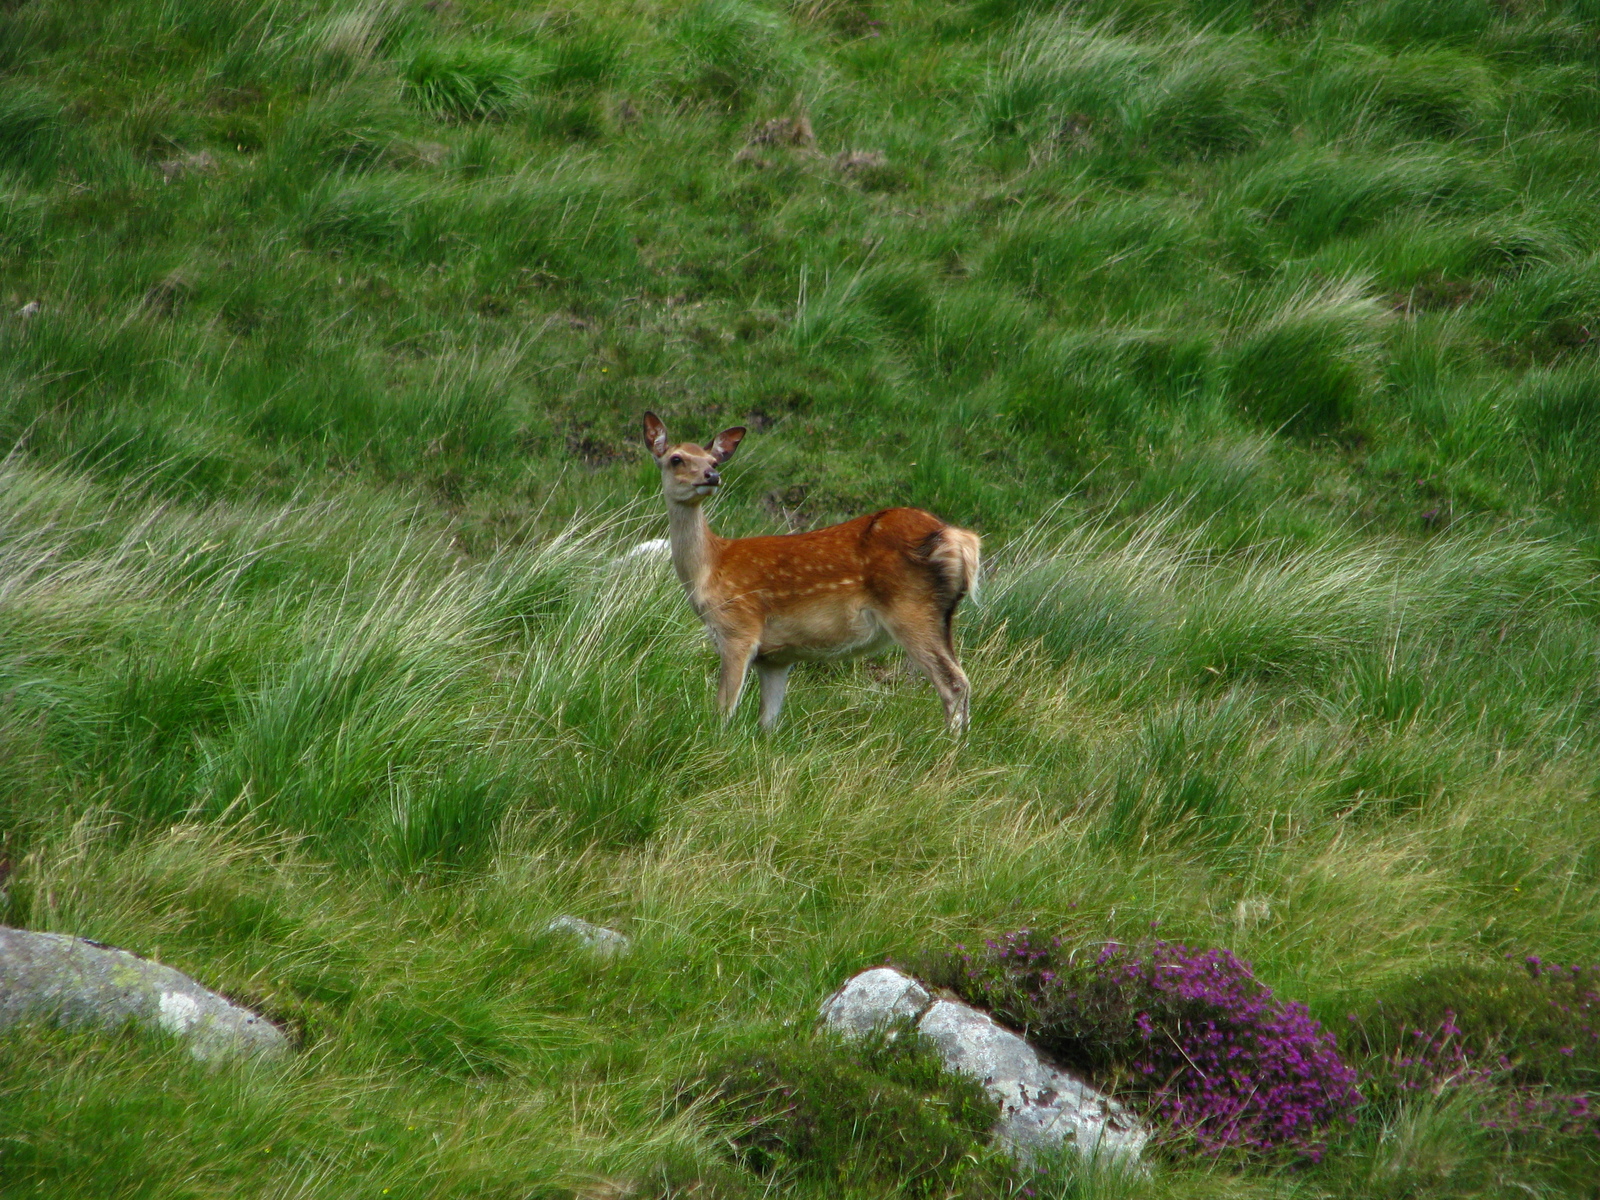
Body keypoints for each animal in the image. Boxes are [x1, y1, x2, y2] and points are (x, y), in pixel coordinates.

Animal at [643, 412, 979, 732]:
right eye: (676, 458)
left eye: (712, 461)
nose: (712, 475)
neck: (710, 568)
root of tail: (961, 539)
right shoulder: (776, 658)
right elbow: (768, 723)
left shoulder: (738, 628)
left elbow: (724, 709)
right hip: (942, 615)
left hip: (911, 607)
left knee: (954, 683)